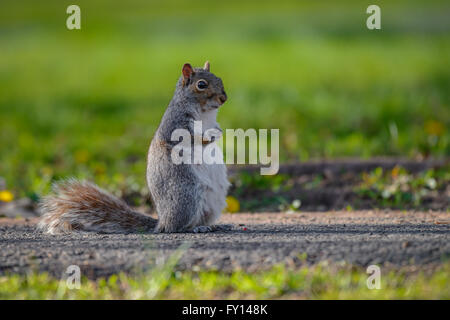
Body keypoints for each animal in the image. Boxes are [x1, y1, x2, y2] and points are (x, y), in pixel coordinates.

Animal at [37, 61, 230, 234]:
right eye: (201, 85)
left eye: (220, 79)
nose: (223, 98)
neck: (205, 113)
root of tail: (161, 222)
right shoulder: (175, 124)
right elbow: (190, 138)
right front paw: (209, 136)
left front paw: (219, 132)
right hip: (187, 194)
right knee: (178, 227)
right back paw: (194, 228)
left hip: (213, 201)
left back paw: (214, 225)